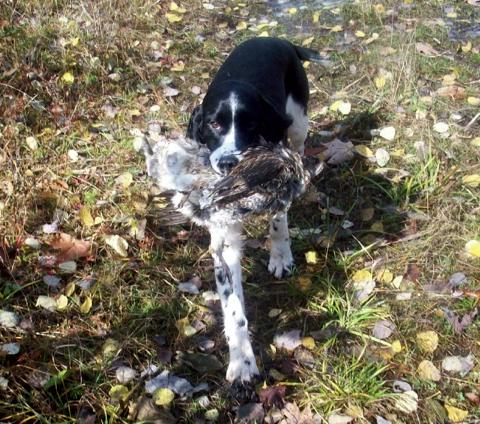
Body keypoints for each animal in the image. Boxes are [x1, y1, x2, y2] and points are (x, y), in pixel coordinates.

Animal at [186, 37, 328, 384]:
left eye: (250, 123)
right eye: (213, 123)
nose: (227, 163)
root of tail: (277, 39)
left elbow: (279, 220)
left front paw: (280, 255)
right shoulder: (223, 239)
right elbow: (234, 308)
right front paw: (242, 362)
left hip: (298, 124)